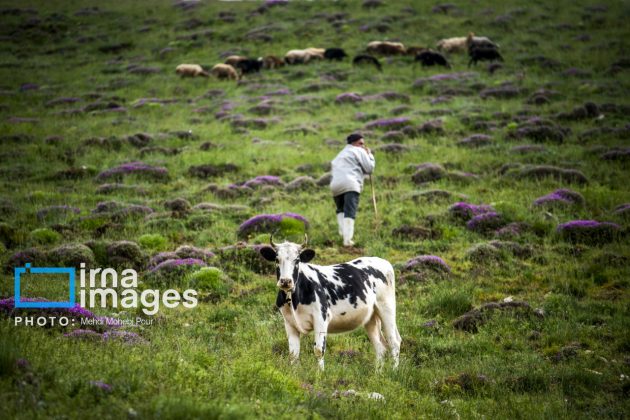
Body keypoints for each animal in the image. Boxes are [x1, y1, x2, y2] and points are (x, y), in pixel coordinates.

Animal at [260, 236, 400, 370]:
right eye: (277, 259)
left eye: (297, 260)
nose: (286, 281)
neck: (294, 300)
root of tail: (381, 260)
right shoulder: (289, 322)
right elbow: (293, 354)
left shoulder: (321, 317)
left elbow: (318, 350)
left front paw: (319, 374)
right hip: (370, 317)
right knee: (380, 346)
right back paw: (378, 373)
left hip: (386, 308)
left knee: (394, 341)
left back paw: (394, 371)